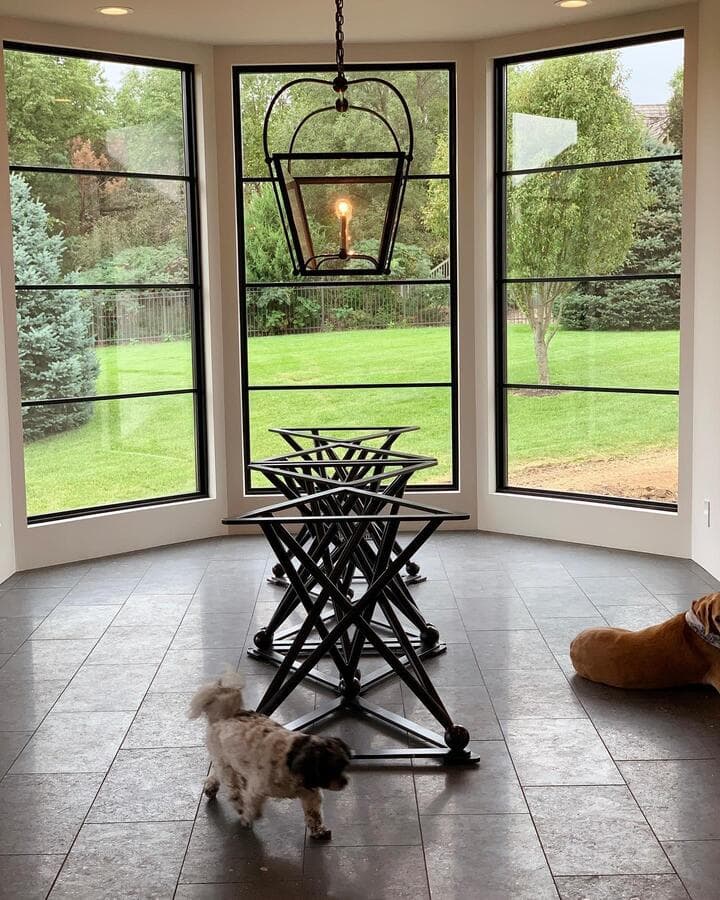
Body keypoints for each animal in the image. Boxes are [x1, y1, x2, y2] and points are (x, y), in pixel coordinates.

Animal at [188, 671, 351, 840]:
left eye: (345, 765)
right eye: (330, 769)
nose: (345, 781)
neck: (290, 757)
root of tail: (226, 714)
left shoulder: (310, 793)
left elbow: (314, 814)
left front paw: (318, 830)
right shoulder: (258, 789)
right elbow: (254, 808)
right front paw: (247, 817)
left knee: (215, 772)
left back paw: (212, 786)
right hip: (225, 763)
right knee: (232, 787)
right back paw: (237, 802)